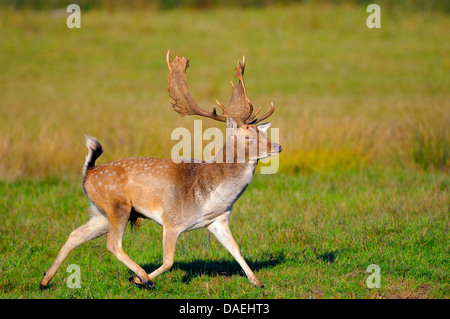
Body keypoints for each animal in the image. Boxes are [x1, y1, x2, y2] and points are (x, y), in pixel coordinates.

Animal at [41, 50, 282, 292]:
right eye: (248, 137)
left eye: (262, 132)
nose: (278, 147)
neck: (209, 199)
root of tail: (88, 173)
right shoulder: (171, 220)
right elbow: (169, 261)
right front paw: (139, 279)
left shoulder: (218, 220)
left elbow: (236, 249)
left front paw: (257, 282)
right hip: (117, 205)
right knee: (112, 244)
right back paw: (143, 277)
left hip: (101, 211)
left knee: (76, 234)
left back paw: (44, 281)